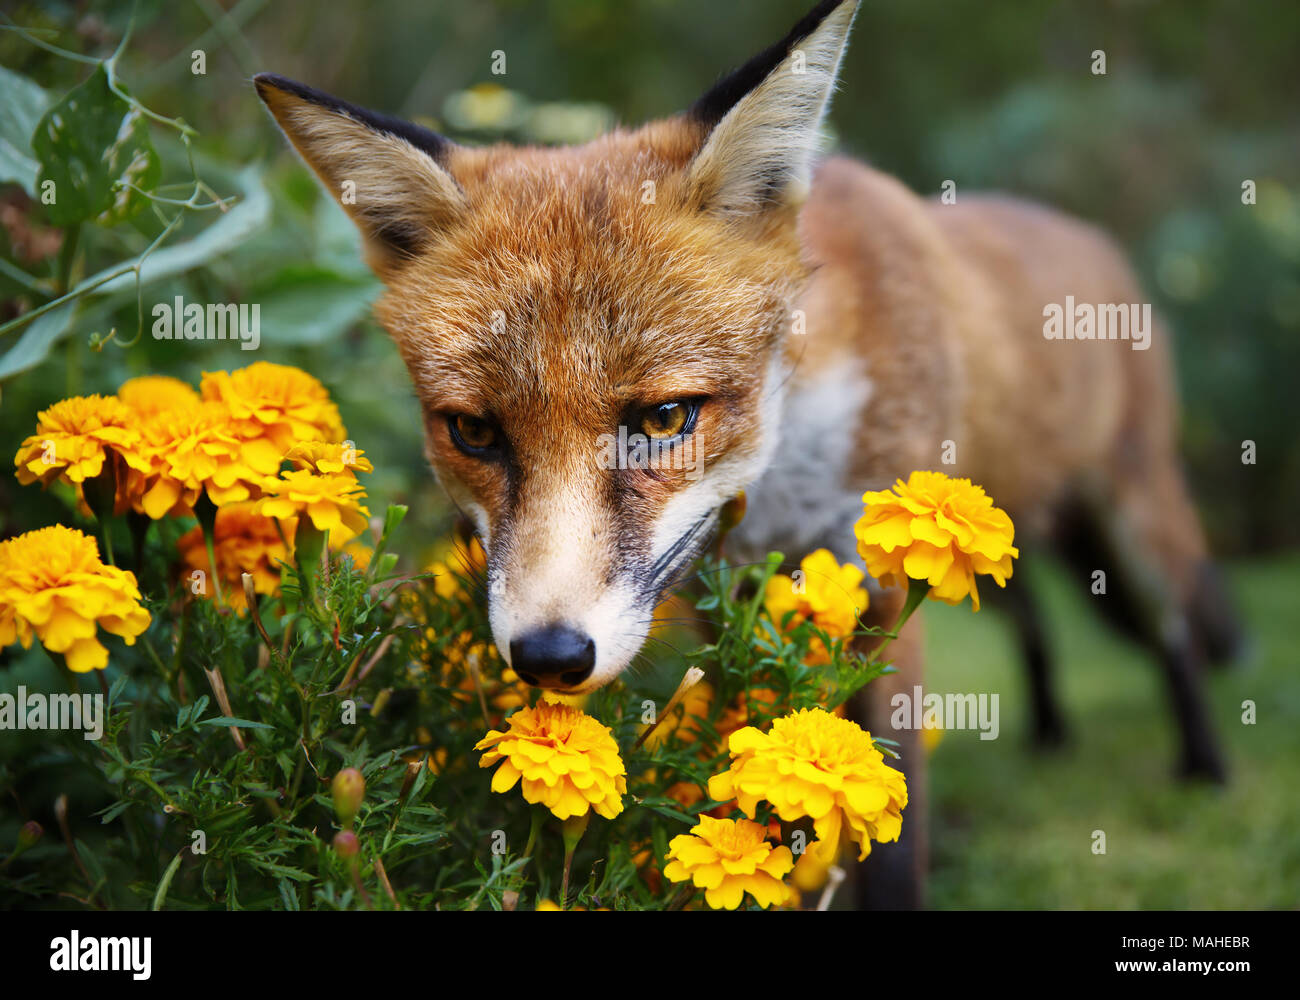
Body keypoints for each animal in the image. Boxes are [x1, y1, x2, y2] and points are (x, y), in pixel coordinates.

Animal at [256, 0, 1237, 905]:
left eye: (663, 418)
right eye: (474, 432)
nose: (549, 658)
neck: (782, 465)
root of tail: (1090, 235)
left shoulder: (884, 580)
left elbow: (890, 818)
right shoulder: (706, 604)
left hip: (1128, 516)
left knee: (1177, 629)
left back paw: (1205, 766)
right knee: (1034, 620)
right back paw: (1049, 732)